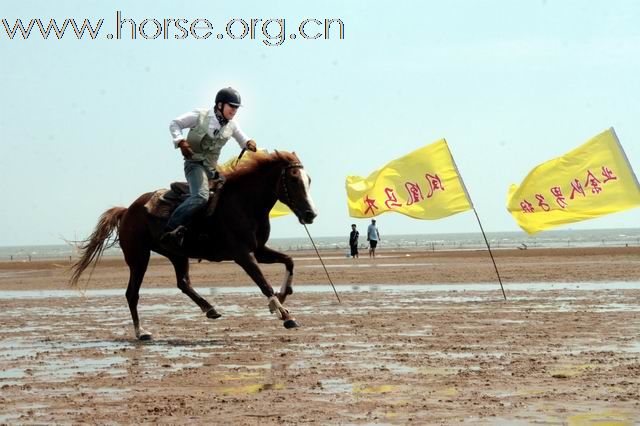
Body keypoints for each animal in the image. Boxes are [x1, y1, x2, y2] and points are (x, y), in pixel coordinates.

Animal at [70, 150, 318, 340]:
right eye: (294, 179)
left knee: (183, 282)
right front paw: (285, 315)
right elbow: (263, 283)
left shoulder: (259, 250)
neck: (243, 203)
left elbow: (289, 261)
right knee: (133, 294)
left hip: (176, 254)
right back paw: (142, 332)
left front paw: (283, 296)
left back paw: (210, 309)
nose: (310, 214)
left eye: (309, 180)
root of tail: (127, 211)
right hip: (139, 258)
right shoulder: (243, 255)